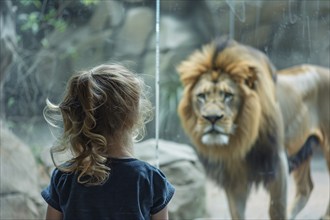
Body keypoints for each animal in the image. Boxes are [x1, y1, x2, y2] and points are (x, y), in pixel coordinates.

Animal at [178, 38, 330, 219]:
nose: (212, 118)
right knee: (305, 187)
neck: (241, 137)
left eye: (228, 95)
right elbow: (236, 212)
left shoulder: (277, 160)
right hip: (302, 147)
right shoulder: (233, 173)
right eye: (201, 96)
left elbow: (276, 208)